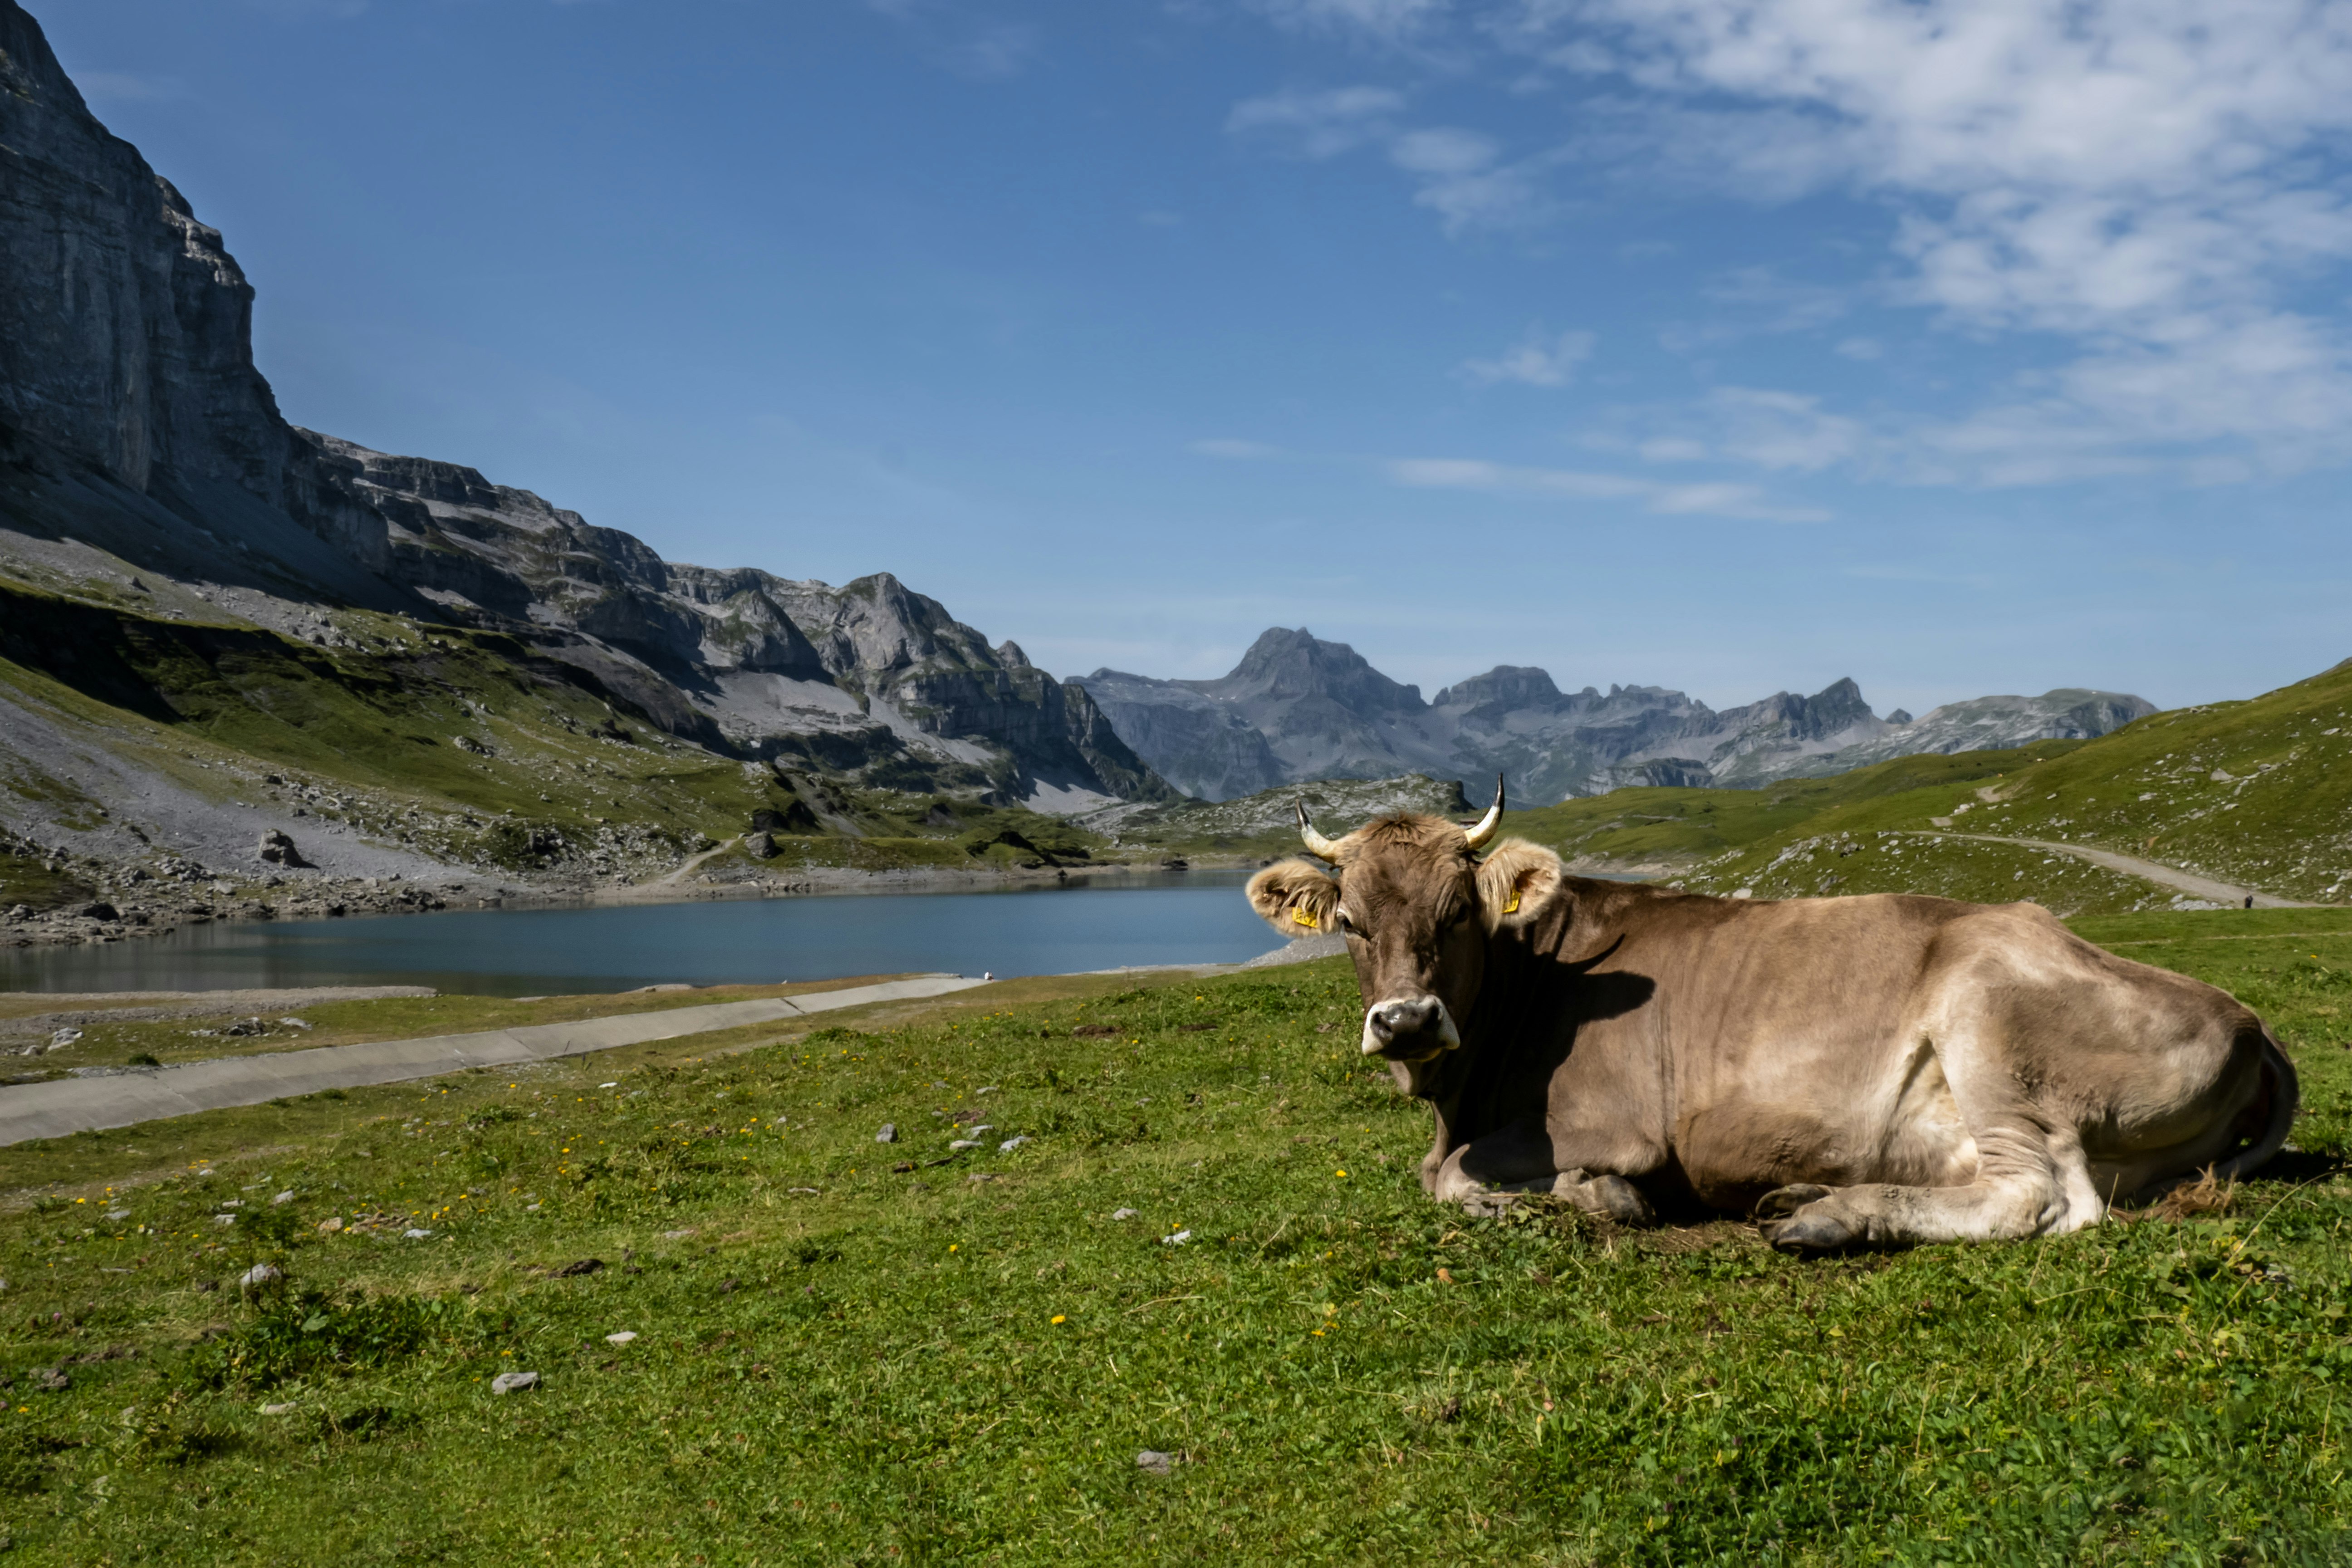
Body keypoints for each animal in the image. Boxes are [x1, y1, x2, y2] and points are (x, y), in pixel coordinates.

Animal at [1251, 789, 2295, 1260]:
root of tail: (2244, 1014)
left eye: (1460, 912)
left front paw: (1593, 1199)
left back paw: (1826, 1217)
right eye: (1348, 923)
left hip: (1989, 1022)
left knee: (2038, 1198)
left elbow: (1454, 1178)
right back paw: (1812, 1198)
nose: (1405, 1020)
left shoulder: (1613, 1124)